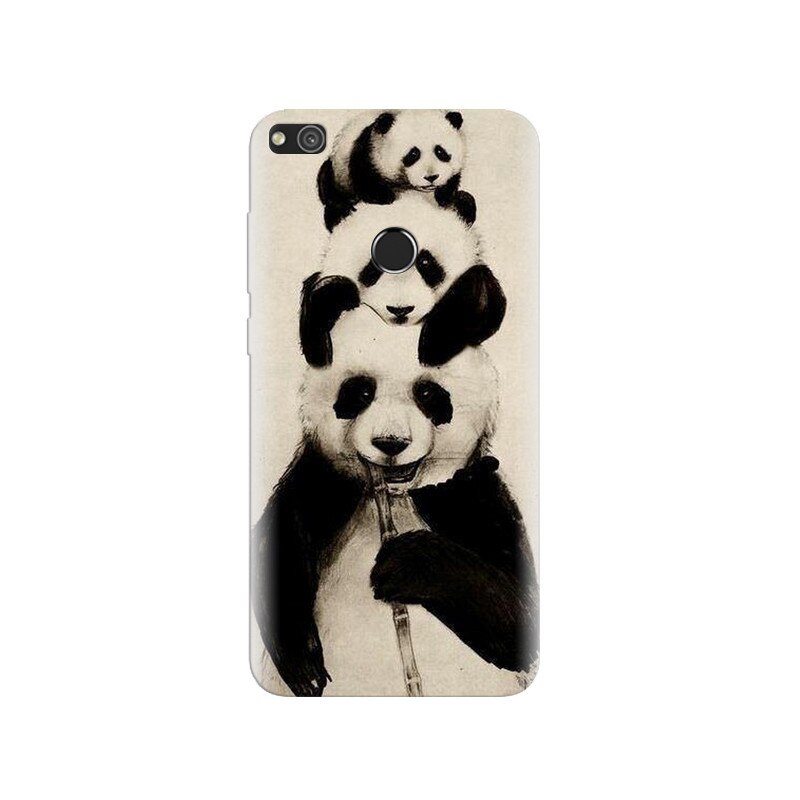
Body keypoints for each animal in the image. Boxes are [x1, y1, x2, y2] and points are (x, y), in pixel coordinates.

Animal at [251, 305, 538, 697]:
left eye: (428, 393)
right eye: (360, 391)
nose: (391, 443)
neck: (394, 496)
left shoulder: (475, 500)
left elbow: (519, 621)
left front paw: (407, 564)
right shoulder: (322, 483)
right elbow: (275, 548)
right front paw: (305, 668)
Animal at [300, 194, 506, 369]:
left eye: (425, 262)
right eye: (373, 268)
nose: (400, 310)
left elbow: (483, 298)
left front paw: (435, 342)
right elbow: (318, 354)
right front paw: (338, 293)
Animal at [317, 109, 477, 231]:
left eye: (440, 151)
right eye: (413, 154)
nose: (431, 177)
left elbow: (452, 181)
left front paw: (444, 196)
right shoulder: (367, 150)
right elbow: (365, 178)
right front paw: (384, 197)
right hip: (337, 171)